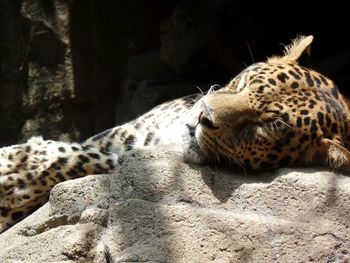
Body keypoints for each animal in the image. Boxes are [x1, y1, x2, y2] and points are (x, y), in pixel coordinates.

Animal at [0, 34, 350, 233]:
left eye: (266, 125)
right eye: (246, 82)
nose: (203, 116)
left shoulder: (127, 155)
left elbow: (84, 159)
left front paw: (15, 173)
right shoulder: (120, 134)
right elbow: (79, 149)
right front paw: (19, 158)